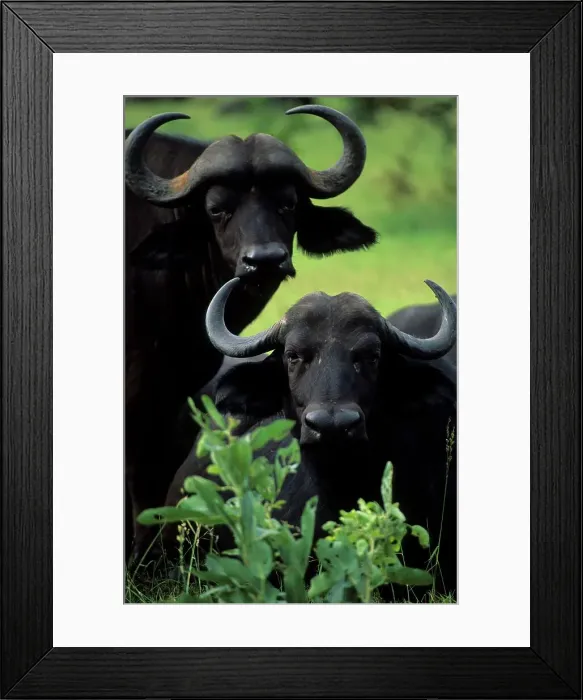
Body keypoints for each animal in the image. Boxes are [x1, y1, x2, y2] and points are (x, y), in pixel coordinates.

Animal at [125, 106, 378, 560]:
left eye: (288, 203)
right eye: (216, 208)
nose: (265, 260)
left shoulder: (175, 393)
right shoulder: (139, 391)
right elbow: (139, 470)